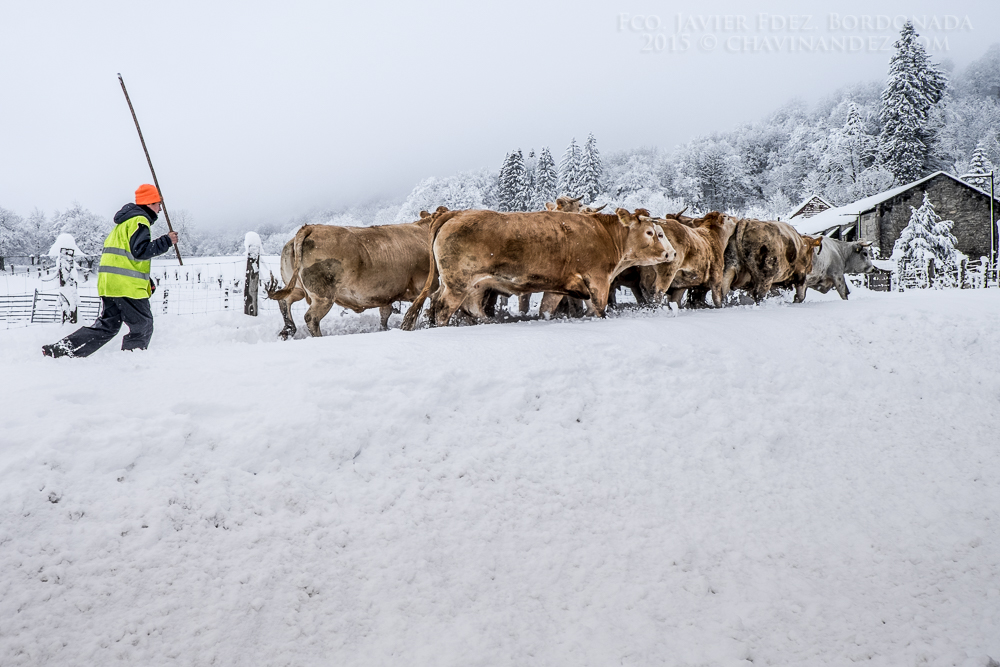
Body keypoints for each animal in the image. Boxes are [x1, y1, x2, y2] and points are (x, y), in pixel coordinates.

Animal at [268, 214, 436, 336]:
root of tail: (311, 227)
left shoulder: (386, 294)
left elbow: (385, 315)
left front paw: (384, 330)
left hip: (297, 288)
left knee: (285, 301)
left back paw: (288, 330)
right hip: (323, 296)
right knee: (311, 318)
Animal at [402, 207, 676, 330]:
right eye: (652, 232)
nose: (672, 253)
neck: (604, 234)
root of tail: (456, 212)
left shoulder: (559, 285)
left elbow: (547, 308)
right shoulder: (598, 279)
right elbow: (598, 308)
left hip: (473, 286)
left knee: (462, 306)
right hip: (457, 283)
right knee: (442, 308)